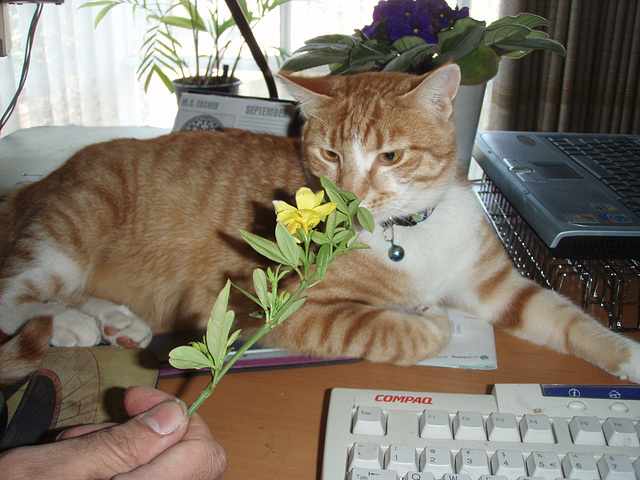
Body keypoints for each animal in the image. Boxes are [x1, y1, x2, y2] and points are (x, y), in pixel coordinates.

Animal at [1, 64, 640, 386]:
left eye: (390, 156)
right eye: (331, 154)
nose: (351, 198)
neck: (407, 234)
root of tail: (31, 186)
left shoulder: (498, 287)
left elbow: (568, 318)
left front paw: (629, 358)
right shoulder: (287, 310)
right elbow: (396, 333)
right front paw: (432, 321)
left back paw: (114, 321)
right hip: (67, 236)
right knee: (13, 301)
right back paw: (74, 325)